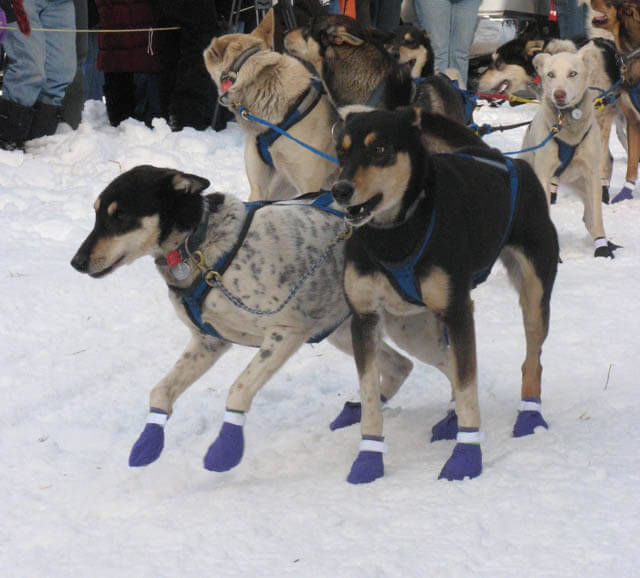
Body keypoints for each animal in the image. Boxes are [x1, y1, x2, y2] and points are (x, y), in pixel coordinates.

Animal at [330, 104, 560, 482]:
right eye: (341, 151)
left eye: (379, 149)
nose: (340, 190)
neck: (396, 234)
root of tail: (501, 158)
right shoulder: (364, 318)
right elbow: (369, 395)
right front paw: (368, 459)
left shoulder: (458, 310)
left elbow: (468, 390)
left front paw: (466, 458)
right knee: (454, 362)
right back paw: (450, 419)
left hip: (533, 294)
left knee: (533, 358)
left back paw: (530, 415)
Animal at [520, 46, 620, 258]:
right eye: (550, 74)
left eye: (572, 73)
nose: (559, 94)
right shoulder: (544, 175)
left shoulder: (592, 175)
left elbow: (597, 217)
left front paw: (602, 248)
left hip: (584, 186)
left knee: (588, 216)